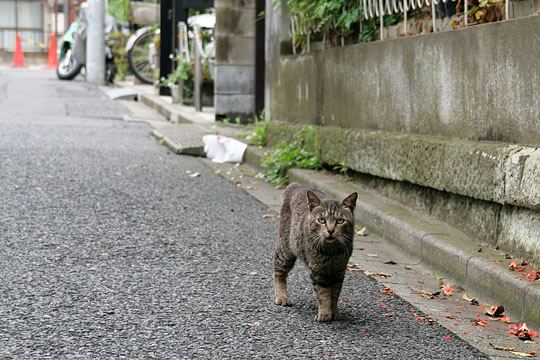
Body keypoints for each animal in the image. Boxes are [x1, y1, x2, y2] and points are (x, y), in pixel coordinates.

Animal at [272, 183, 356, 320]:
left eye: (340, 221)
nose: (330, 230)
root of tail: (296, 185)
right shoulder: (318, 271)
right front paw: (325, 313)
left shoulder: (339, 271)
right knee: (278, 272)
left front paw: (335, 312)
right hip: (285, 250)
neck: (332, 252)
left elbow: (335, 294)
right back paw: (282, 296)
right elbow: (323, 294)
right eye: (321, 220)